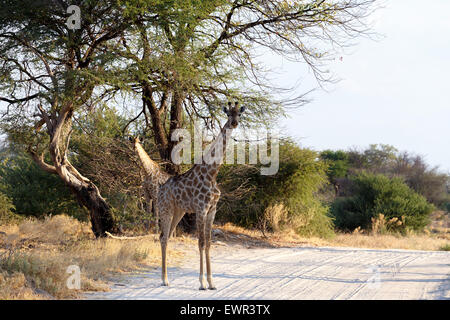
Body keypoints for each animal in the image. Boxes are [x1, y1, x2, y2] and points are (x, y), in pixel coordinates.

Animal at [156, 100, 246, 290]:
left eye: (239, 114)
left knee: (165, 236)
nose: (234, 123)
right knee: (163, 237)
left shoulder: (212, 210)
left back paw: (166, 278)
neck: (212, 173)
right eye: (228, 114)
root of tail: (160, 190)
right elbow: (201, 243)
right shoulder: (201, 209)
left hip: (179, 211)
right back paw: (164, 279)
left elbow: (209, 243)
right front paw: (202, 283)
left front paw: (212, 282)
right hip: (166, 209)